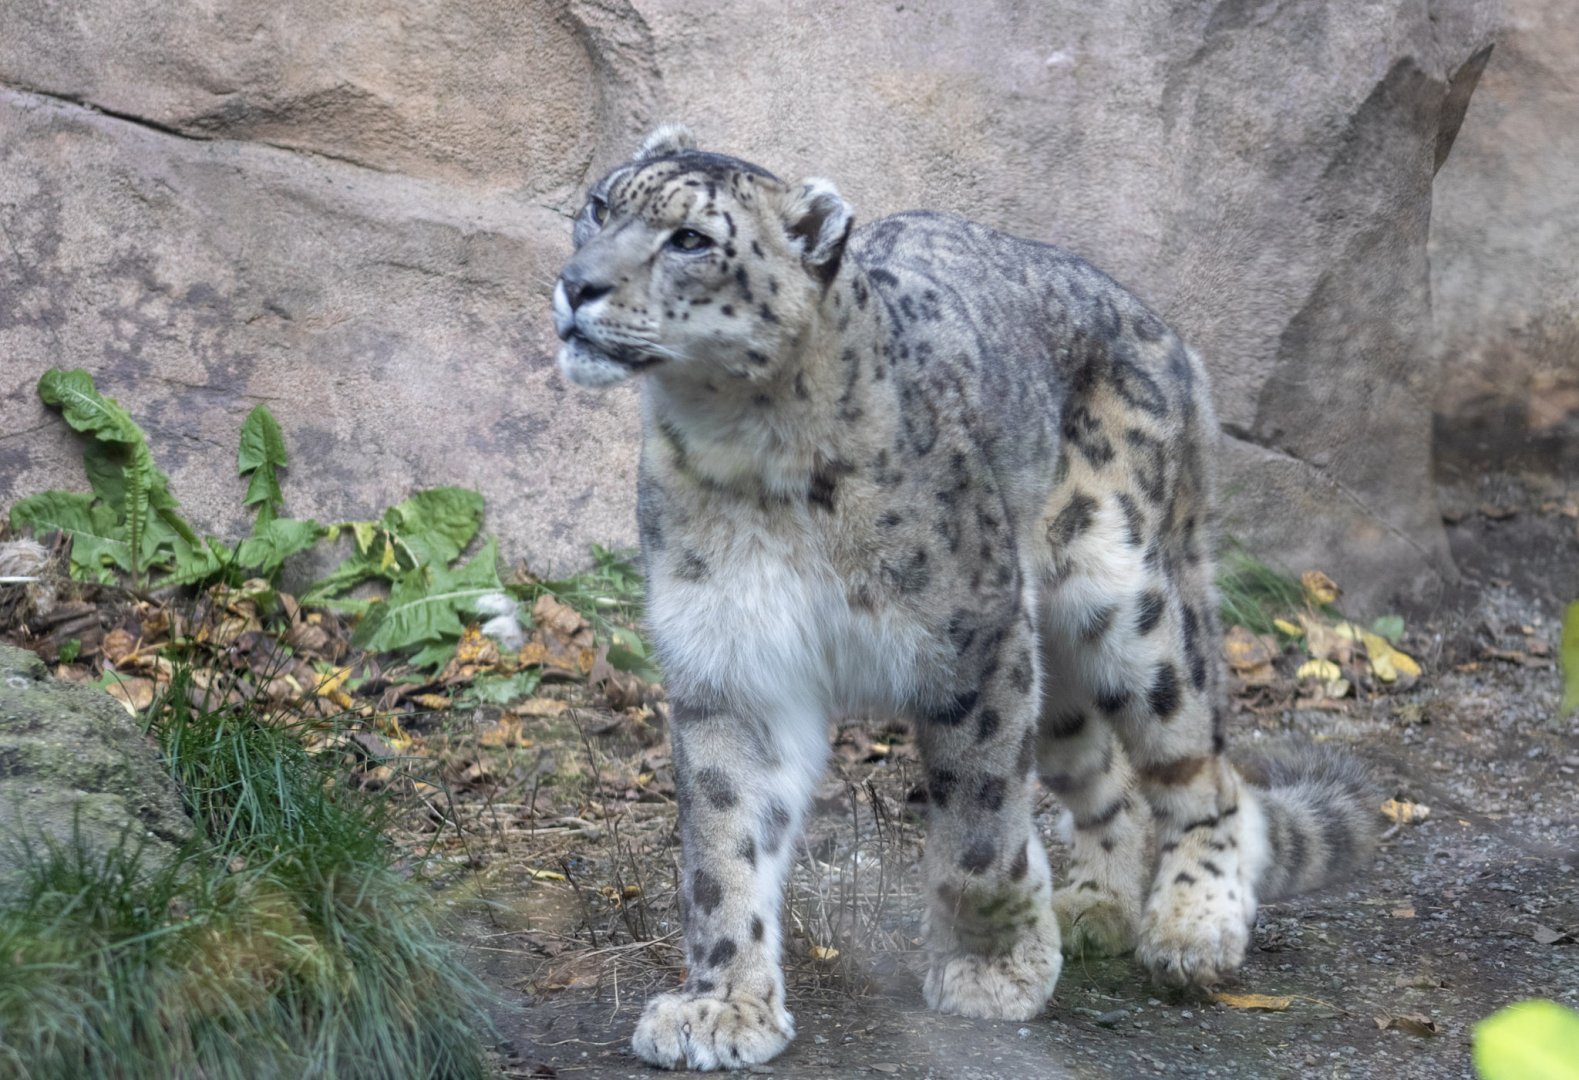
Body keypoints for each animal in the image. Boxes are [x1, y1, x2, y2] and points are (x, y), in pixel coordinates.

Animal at [550, 124, 1377, 1071]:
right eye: (599, 205)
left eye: (689, 239)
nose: (575, 284)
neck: (742, 449)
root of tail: (1169, 337)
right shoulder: (733, 660)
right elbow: (724, 843)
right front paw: (722, 1007)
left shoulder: (971, 639)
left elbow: (979, 827)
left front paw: (992, 971)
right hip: (1054, 676)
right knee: (1110, 781)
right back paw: (1094, 907)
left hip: (1124, 599)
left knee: (1203, 767)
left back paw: (1191, 926)